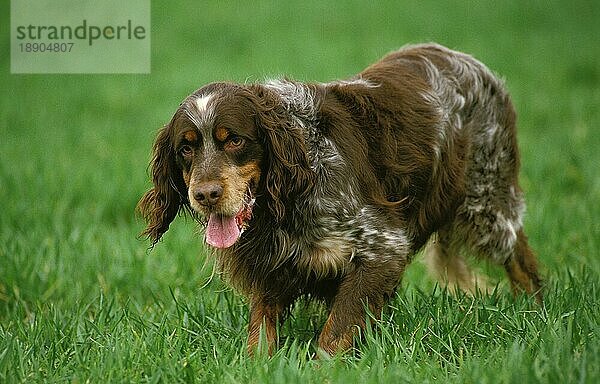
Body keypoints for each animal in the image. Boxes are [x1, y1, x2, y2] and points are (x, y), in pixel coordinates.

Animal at [137, 43, 544, 356]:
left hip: (487, 200)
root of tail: (473, 63)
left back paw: (535, 312)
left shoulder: (382, 248)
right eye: (186, 148)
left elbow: (333, 335)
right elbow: (260, 333)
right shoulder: (272, 266)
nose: (205, 194)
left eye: (234, 140)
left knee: (522, 261)